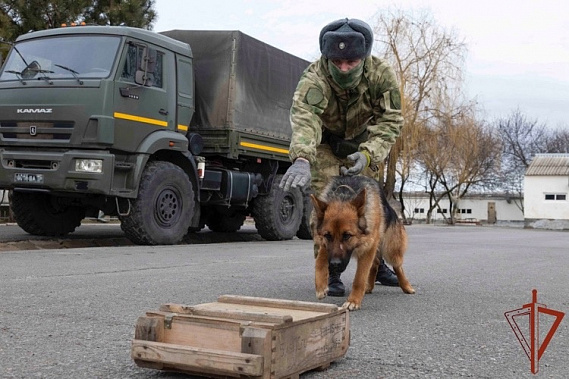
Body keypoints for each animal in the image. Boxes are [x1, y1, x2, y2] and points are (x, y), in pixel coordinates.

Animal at [310, 176, 412, 312]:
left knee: (397, 266)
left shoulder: (368, 247)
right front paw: (321, 286)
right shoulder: (325, 245)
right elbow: (320, 261)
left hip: (390, 250)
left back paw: (406, 286)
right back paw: (369, 286)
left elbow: (360, 277)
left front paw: (353, 301)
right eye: (328, 236)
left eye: (347, 235)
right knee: (376, 263)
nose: (334, 265)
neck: (343, 196)